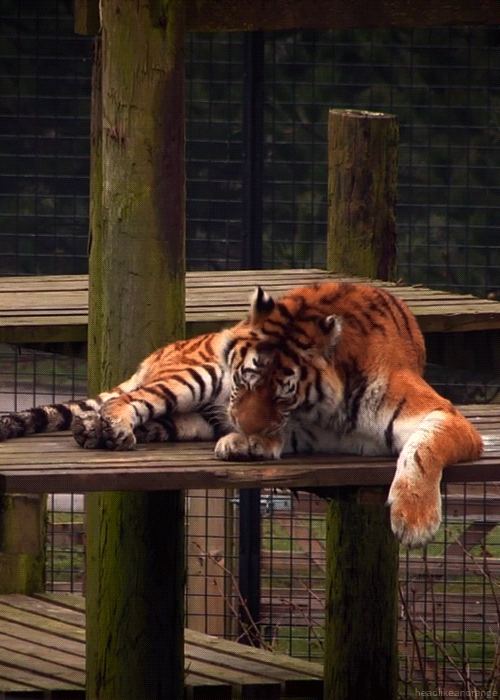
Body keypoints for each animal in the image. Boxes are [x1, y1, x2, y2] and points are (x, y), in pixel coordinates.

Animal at [0, 281, 483, 548]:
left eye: (284, 393)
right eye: (246, 380)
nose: (241, 425)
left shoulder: (444, 415)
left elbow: (421, 450)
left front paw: (413, 520)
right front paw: (245, 442)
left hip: (190, 418)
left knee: (153, 418)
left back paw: (95, 430)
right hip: (192, 375)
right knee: (130, 399)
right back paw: (111, 427)